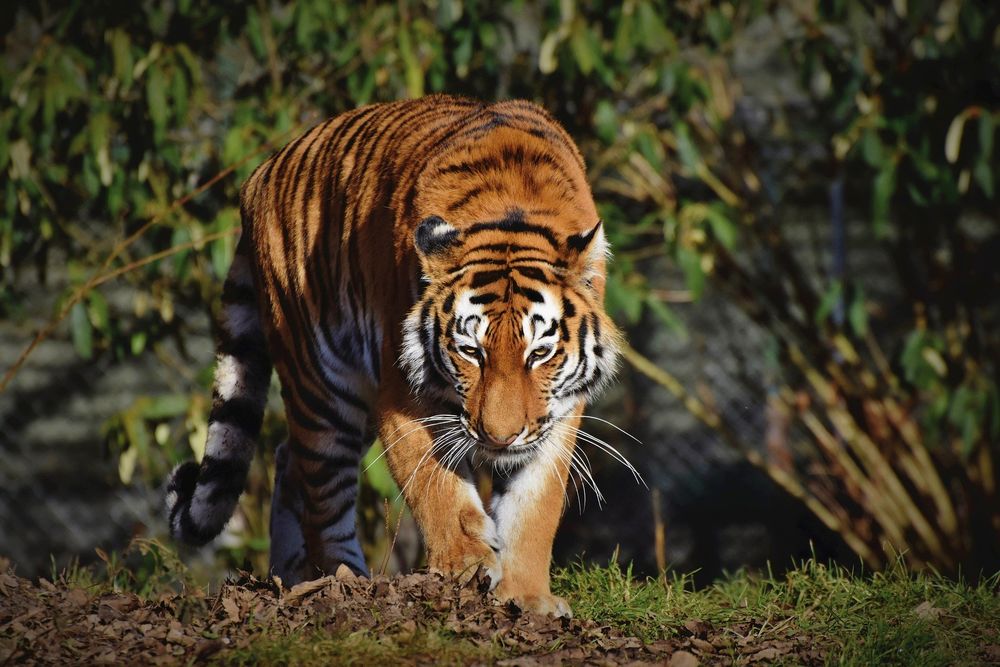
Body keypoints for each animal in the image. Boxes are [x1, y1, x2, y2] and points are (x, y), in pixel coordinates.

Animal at [165, 94, 622, 617]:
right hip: (323, 386)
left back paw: (292, 575)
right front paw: (466, 566)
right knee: (321, 490)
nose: (499, 438)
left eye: (539, 353)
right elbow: (437, 487)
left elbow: (534, 506)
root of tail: (258, 175)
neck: (512, 209)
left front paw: (528, 598)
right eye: (471, 351)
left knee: (288, 459)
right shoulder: (400, 393)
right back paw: (343, 581)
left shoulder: (557, 413)